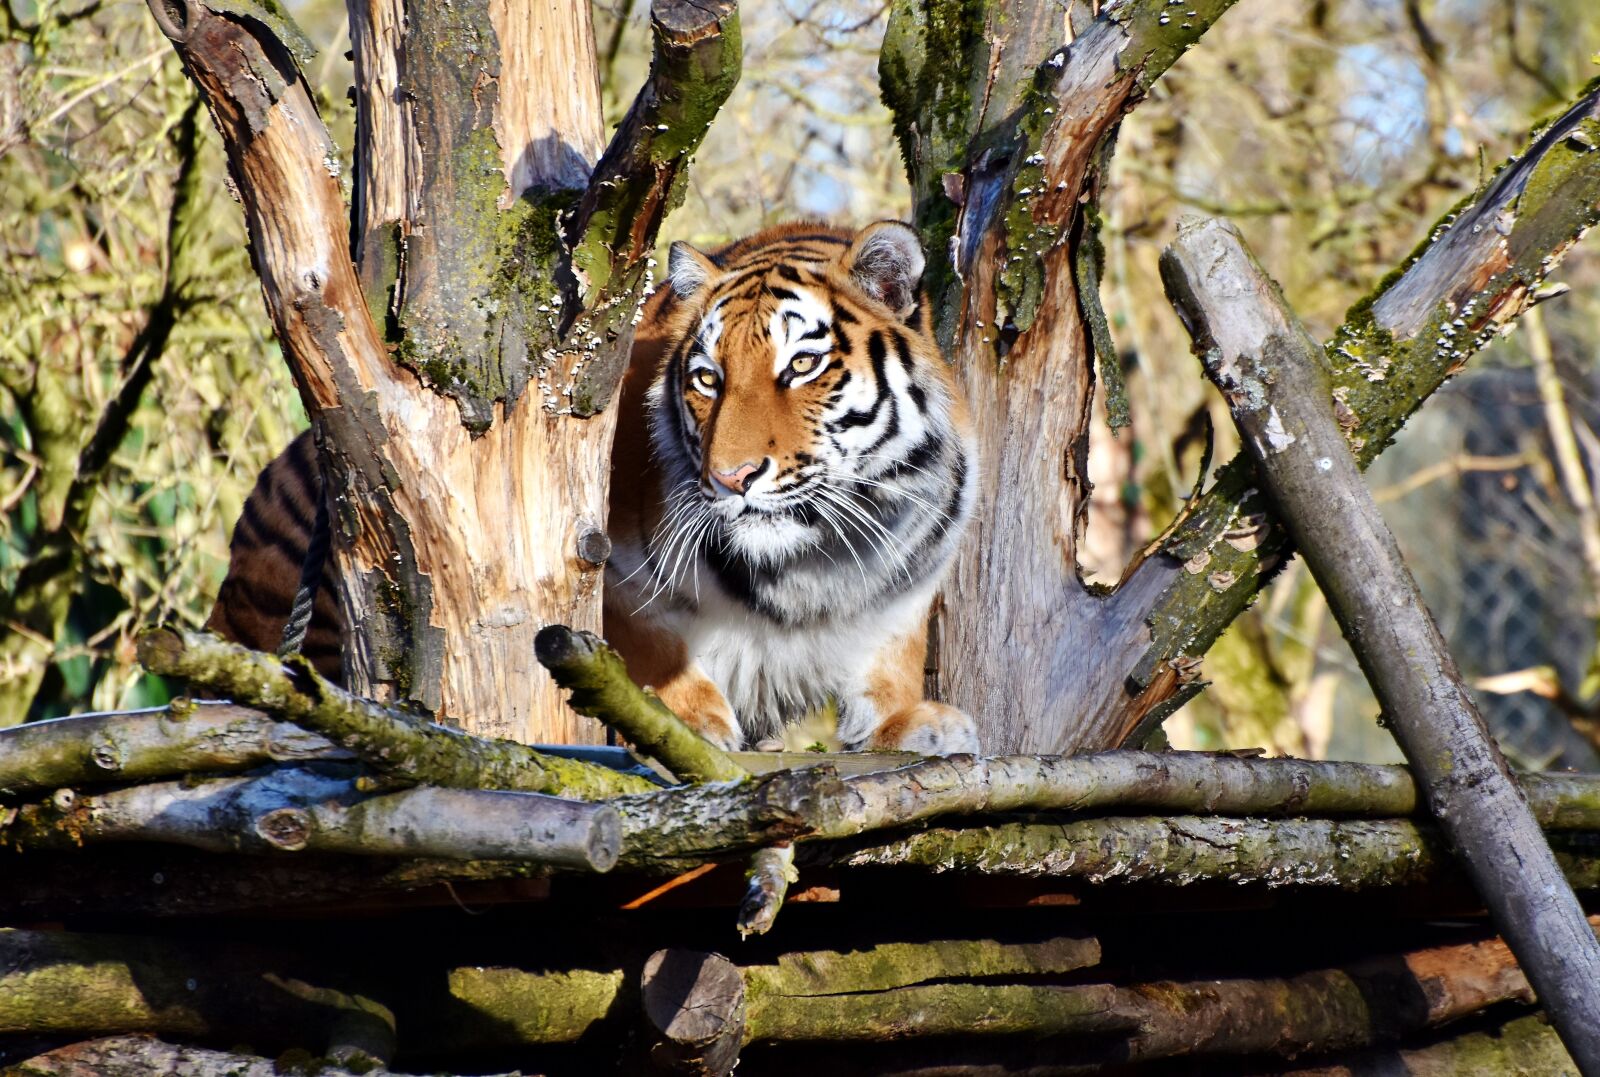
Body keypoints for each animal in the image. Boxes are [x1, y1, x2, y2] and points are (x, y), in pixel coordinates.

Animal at [206, 220, 979, 754]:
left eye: (801, 366)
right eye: (708, 379)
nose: (730, 479)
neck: (814, 559)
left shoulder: (905, 584)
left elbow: (890, 660)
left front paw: (916, 721)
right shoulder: (602, 564)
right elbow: (647, 646)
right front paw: (689, 717)